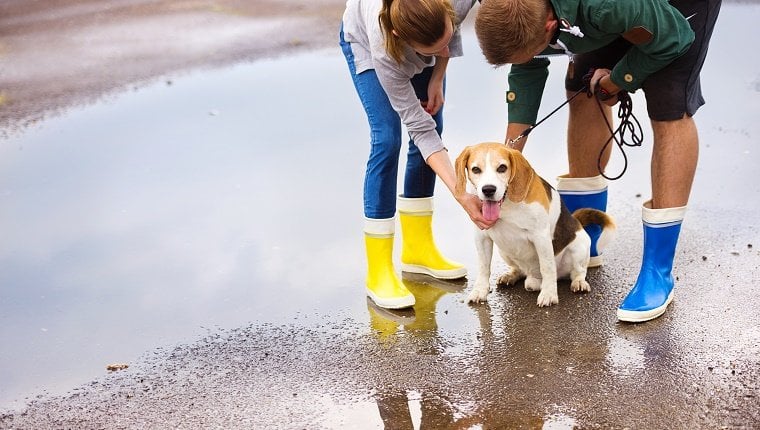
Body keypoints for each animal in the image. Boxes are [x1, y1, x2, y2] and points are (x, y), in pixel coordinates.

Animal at [454, 143, 616, 308]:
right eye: (475, 169)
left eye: (502, 168)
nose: (488, 190)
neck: (506, 205)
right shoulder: (481, 236)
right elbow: (484, 267)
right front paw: (479, 291)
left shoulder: (541, 236)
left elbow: (547, 266)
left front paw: (549, 294)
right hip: (504, 251)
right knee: (521, 271)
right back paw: (512, 276)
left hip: (579, 249)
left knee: (577, 272)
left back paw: (578, 283)